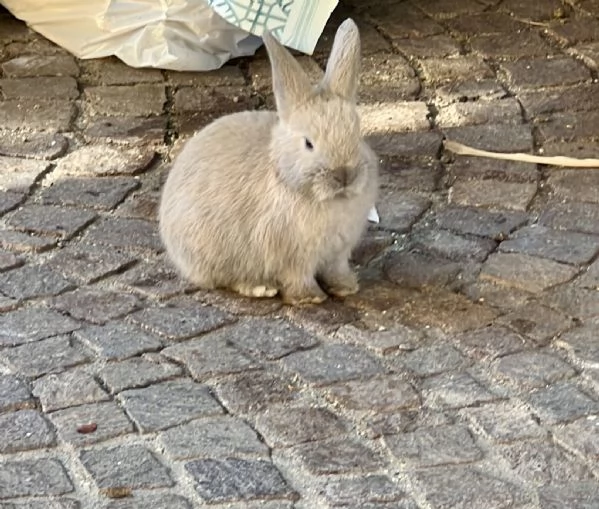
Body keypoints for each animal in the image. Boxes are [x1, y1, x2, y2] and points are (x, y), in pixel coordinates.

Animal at [157, 18, 378, 306]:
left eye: (357, 133)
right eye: (308, 143)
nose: (344, 175)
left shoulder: (337, 254)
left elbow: (336, 270)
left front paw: (346, 288)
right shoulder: (293, 257)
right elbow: (298, 278)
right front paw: (310, 298)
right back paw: (260, 288)